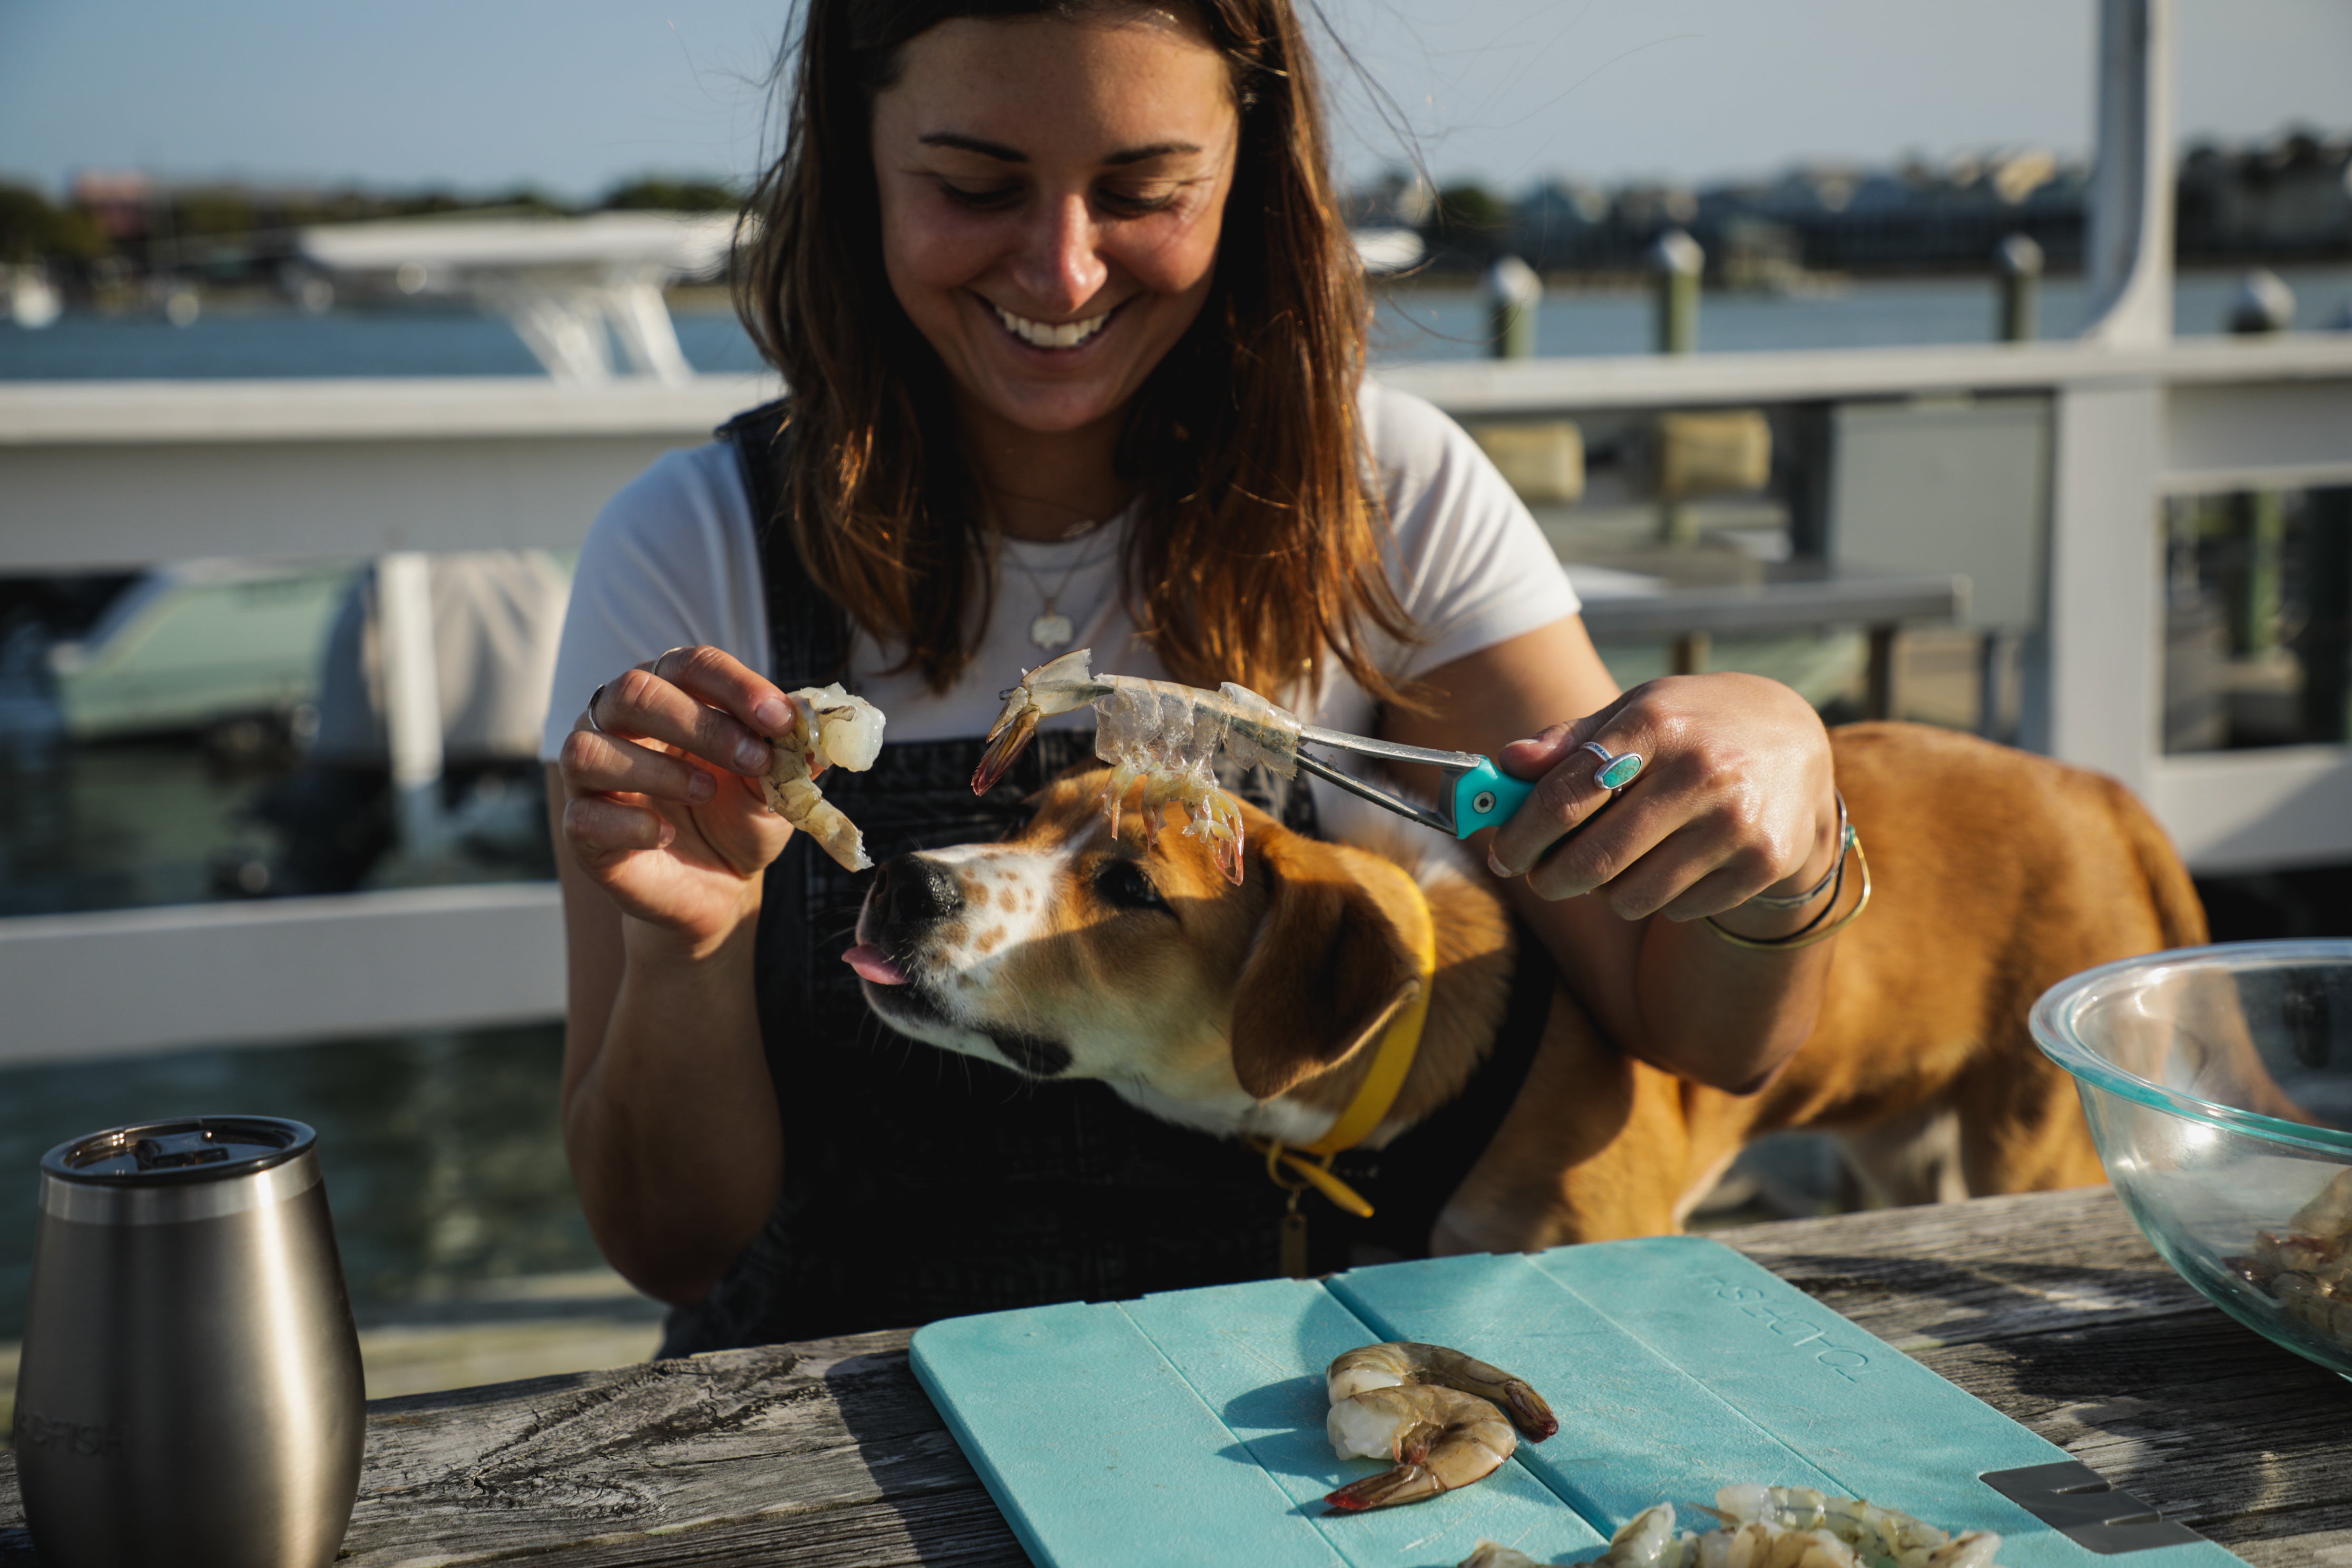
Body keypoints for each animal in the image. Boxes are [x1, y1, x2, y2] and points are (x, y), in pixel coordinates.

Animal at [851, 719, 2201, 1250]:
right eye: (1026, 817)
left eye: (1131, 885)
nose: (903, 883)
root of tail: (2097, 790)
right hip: (1901, 1143)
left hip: (2025, 1138)